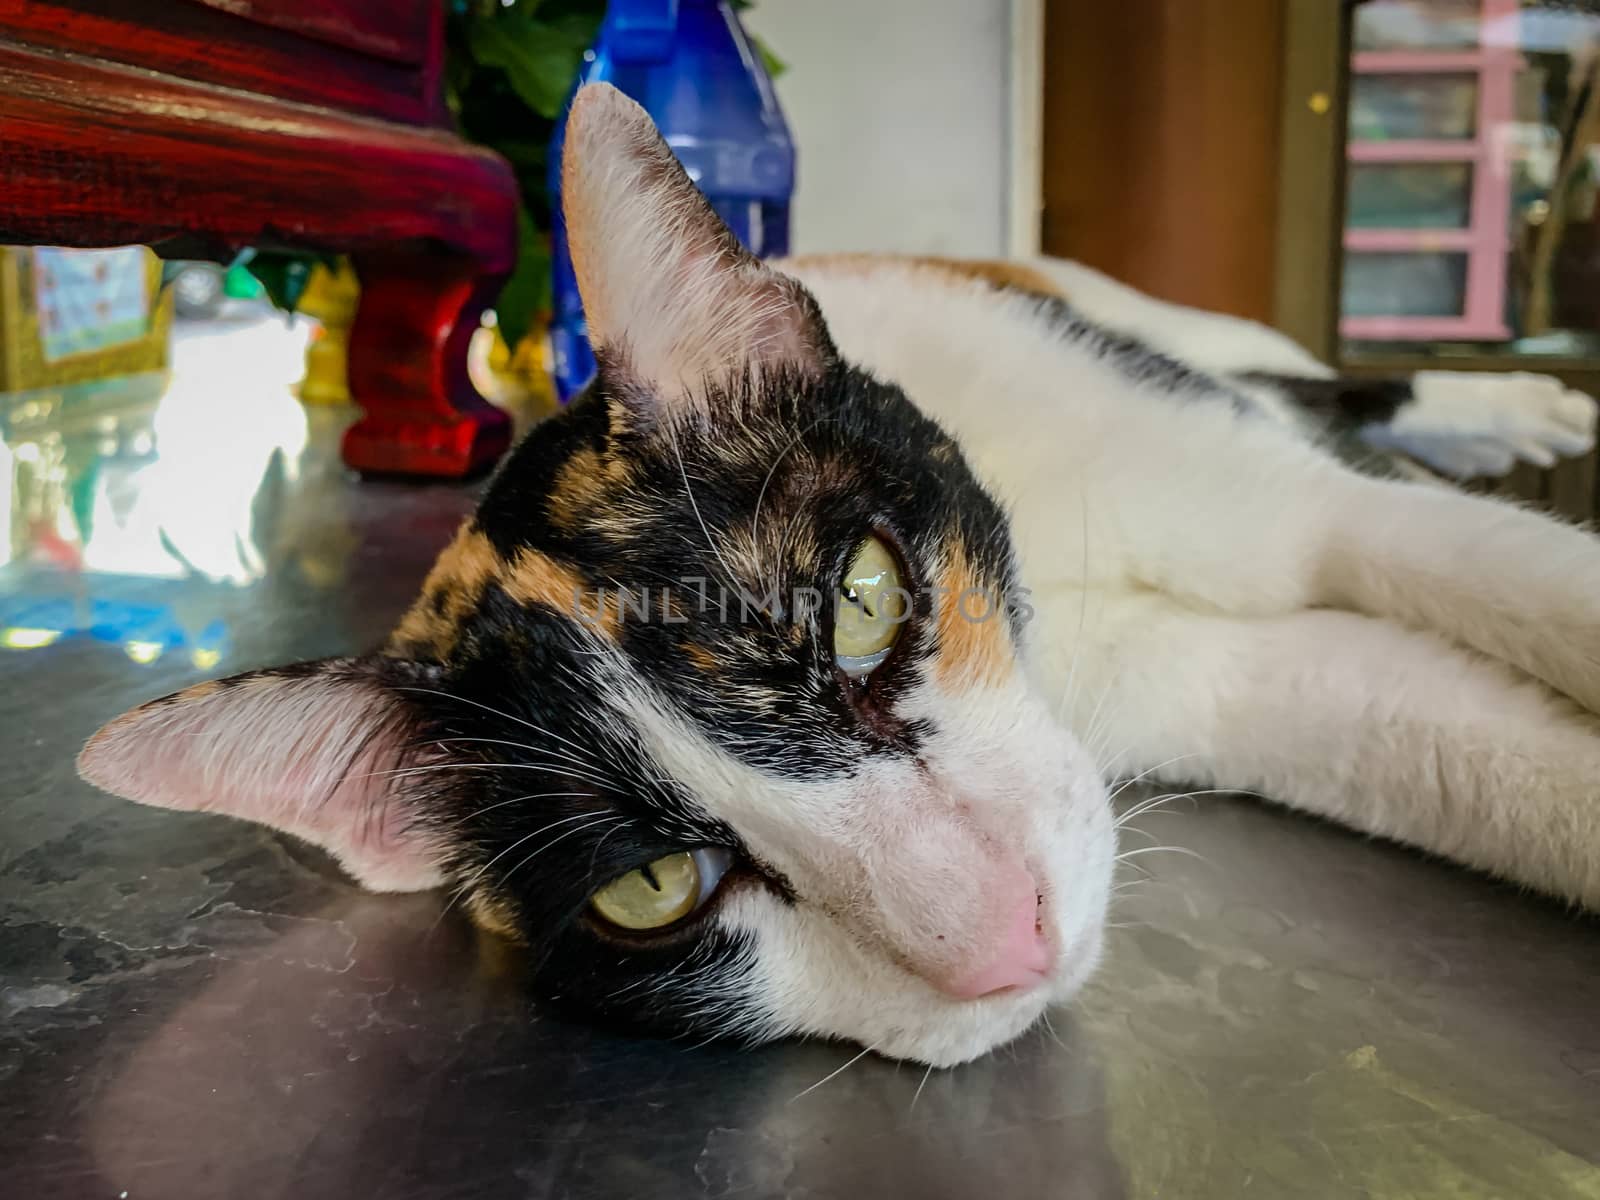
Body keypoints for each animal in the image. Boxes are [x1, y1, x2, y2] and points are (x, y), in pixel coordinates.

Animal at [78, 86, 1600, 1068]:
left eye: (863, 599)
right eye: (654, 888)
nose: (1006, 946)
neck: (1057, 610)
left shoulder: (1267, 493)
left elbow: (1463, 558)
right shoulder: (1237, 687)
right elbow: (1452, 742)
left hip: (1133, 330)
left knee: (1300, 379)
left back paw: (1510, 408)